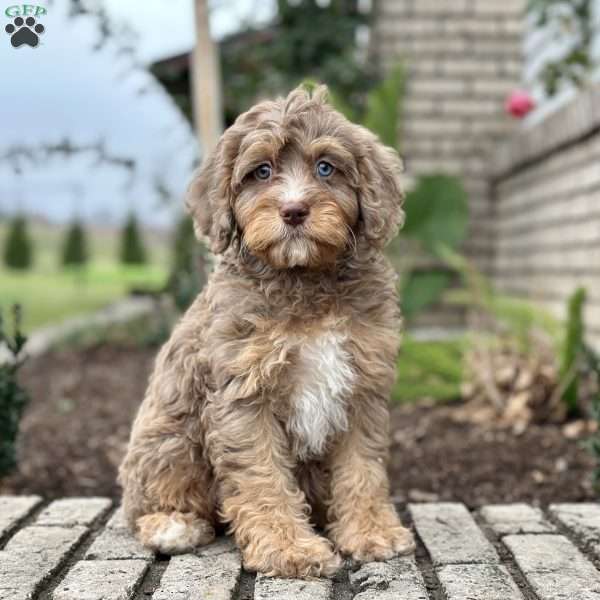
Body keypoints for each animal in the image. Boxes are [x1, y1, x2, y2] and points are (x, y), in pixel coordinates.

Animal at [119, 84, 414, 576]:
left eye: (325, 167)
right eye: (261, 171)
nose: (293, 210)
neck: (303, 278)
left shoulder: (363, 385)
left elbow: (362, 467)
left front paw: (372, 532)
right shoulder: (243, 392)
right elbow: (262, 476)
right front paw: (289, 548)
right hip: (169, 441)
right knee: (146, 503)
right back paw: (173, 525)